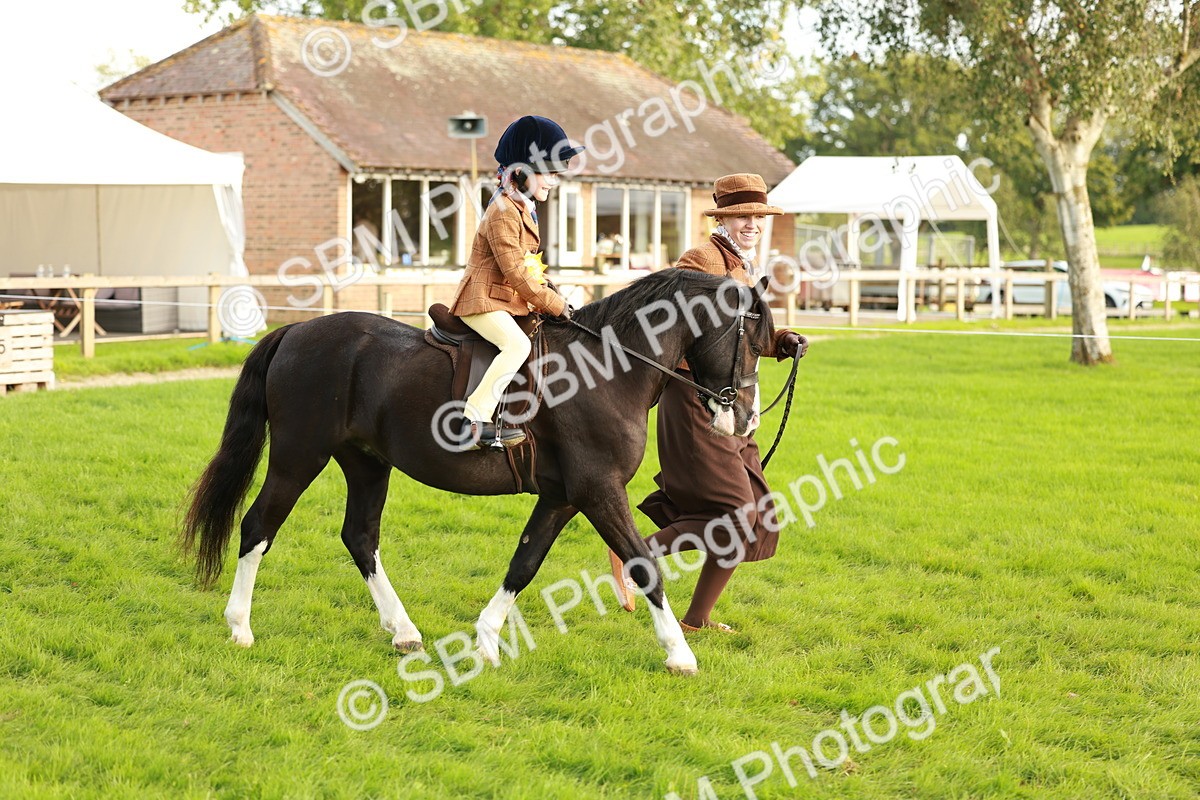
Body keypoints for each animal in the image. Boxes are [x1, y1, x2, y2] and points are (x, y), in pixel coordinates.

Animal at [181, 269, 774, 675]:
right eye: (749, 340)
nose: (745, 417)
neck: (609, 368)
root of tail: (296, 331)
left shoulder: (562, 497)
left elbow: (524, 564)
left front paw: (487, 640)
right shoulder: (599, 491)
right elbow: (644, 565)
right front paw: (679, 654)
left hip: (367, 463)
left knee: (360, 537)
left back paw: (403, 630)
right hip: (298, 458)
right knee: (259, 527)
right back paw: (240, 627)